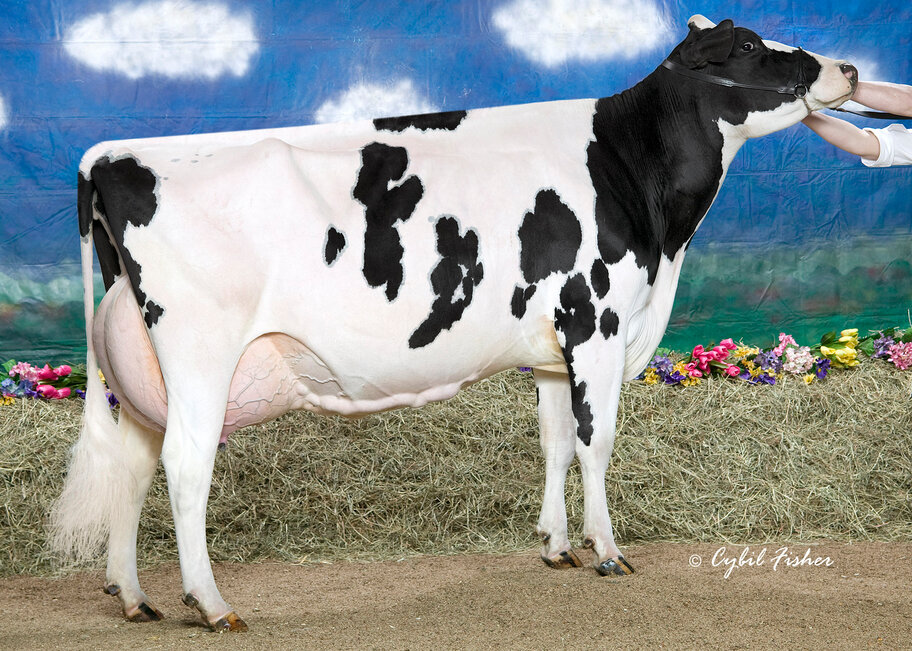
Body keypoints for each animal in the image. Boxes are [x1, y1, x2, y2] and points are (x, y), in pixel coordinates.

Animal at [51, 16, 857, 632]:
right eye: (749, 46)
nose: (847, 67)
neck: (636, 180)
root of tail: (112, 156)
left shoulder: (551, 347)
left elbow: (554, 443)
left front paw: (555, 546)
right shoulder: (594, 320)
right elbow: (595, 444)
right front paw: (606, 549)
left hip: (142, 367)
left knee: (132, 465)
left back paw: (134, 596)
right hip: (198, 352)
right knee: (186, 466)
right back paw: (212, 603)